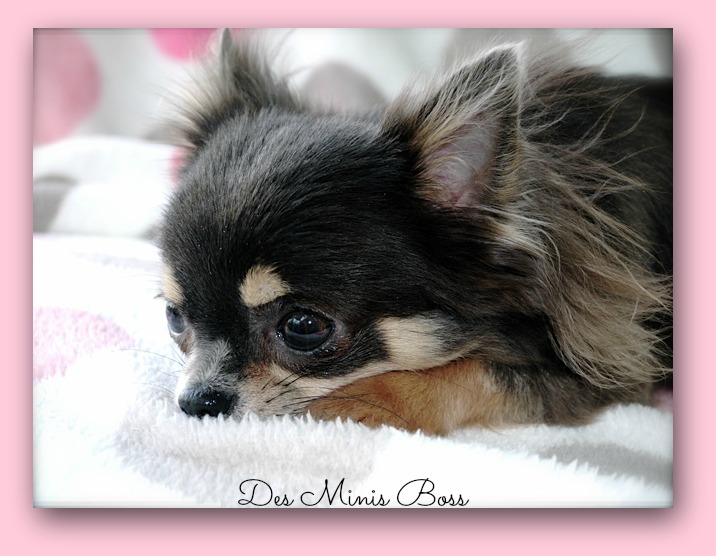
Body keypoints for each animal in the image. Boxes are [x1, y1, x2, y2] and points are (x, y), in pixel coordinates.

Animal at [158, 30, 672, 435]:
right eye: (174, 317)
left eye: (303, 327)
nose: (196, 400)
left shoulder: (607, 368)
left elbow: (468, 369)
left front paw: (355, 400)